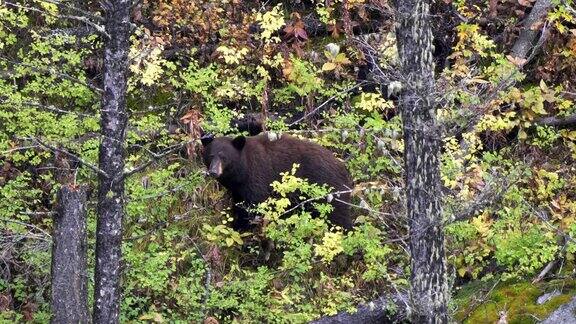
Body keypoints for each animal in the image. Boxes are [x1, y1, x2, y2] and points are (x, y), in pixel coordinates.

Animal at [202, 132, 356, 230]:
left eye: (224, 157)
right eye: (210, 155)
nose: (213, 171)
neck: (242, 171)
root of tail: (344, 169)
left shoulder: (257, 176)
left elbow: (255, 204)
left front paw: (241, 227)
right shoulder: (238, 189)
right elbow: (239, 204)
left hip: (329, 187)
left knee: (339, 216)